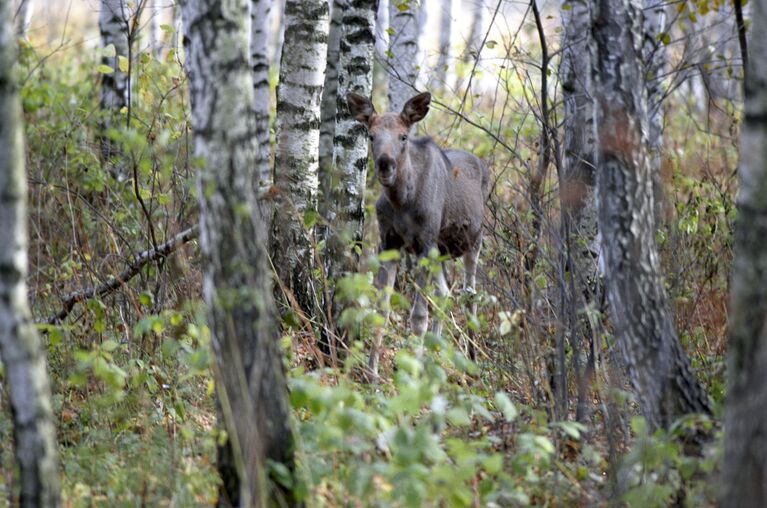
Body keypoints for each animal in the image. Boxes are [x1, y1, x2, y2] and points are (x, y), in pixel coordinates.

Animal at [346, 91, 488, 380]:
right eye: (371, 136)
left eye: (403, 136)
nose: (385, 165)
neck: (403, 202)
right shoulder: (389, 242)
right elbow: (382, 309)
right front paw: (372, 373)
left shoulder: (424, 244)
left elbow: (418, 316)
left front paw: (411, 375)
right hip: (441, 251)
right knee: (445, 292)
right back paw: (435, 356)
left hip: (473, 241)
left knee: (469, 294)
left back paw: (471, 361)